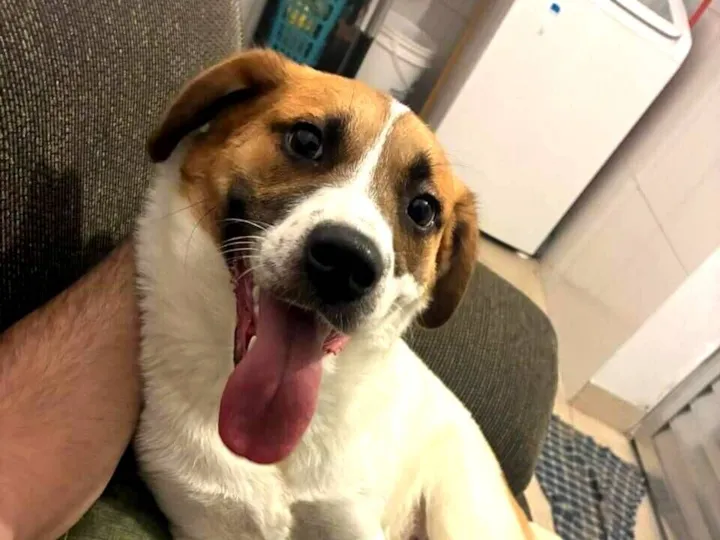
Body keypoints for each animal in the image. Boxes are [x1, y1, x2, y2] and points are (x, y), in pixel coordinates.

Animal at [135, 49, 558, 540]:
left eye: (423, 209)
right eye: (306, 140)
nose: (346, 263)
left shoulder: (352, 522)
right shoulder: (205, 522)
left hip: (463, 515)